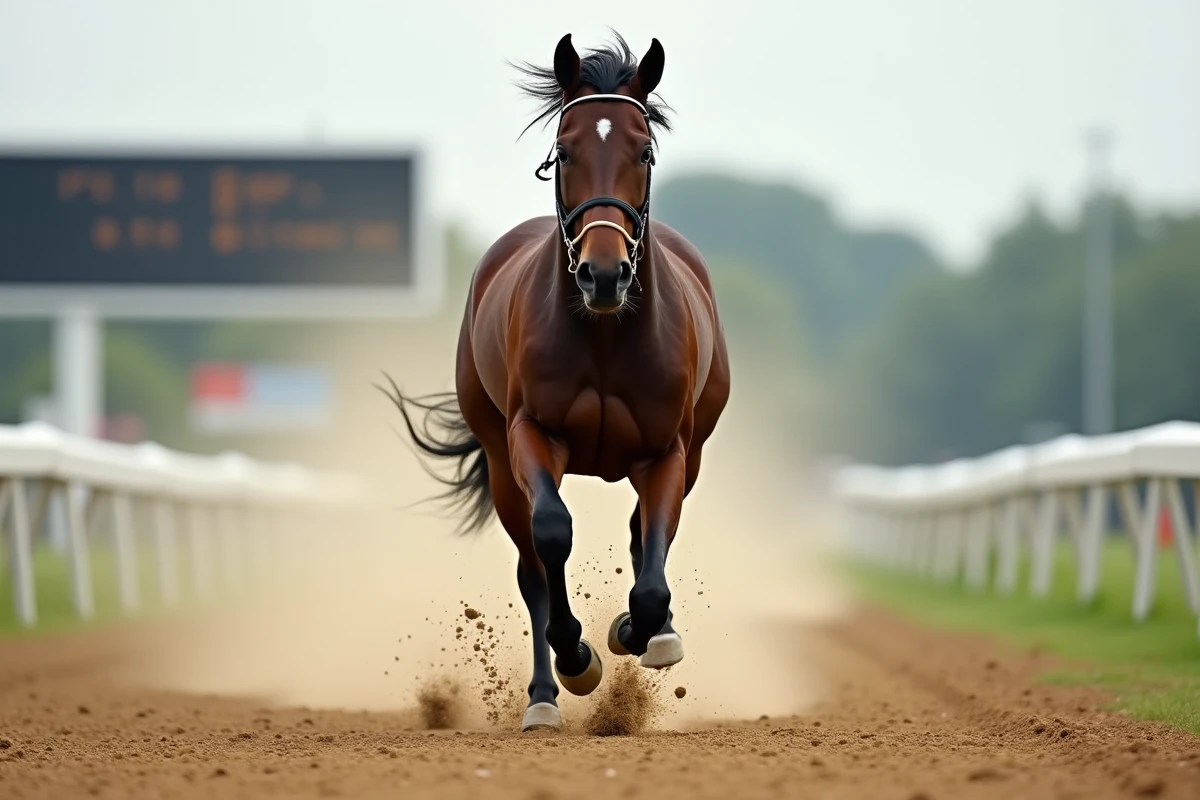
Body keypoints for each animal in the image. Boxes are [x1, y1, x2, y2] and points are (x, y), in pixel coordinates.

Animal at [387, 31, 730, 732]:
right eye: (564, 150)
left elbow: (650, 559)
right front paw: (577, 656)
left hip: (690, 450)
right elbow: (551, 535)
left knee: (644, 533)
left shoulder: (668, 450)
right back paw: (544, 696)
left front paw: (639, 629)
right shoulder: (530, 434)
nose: (605, 275)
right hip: (498, 460)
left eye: (644, 149)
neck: (604, 335)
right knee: (532, 568)